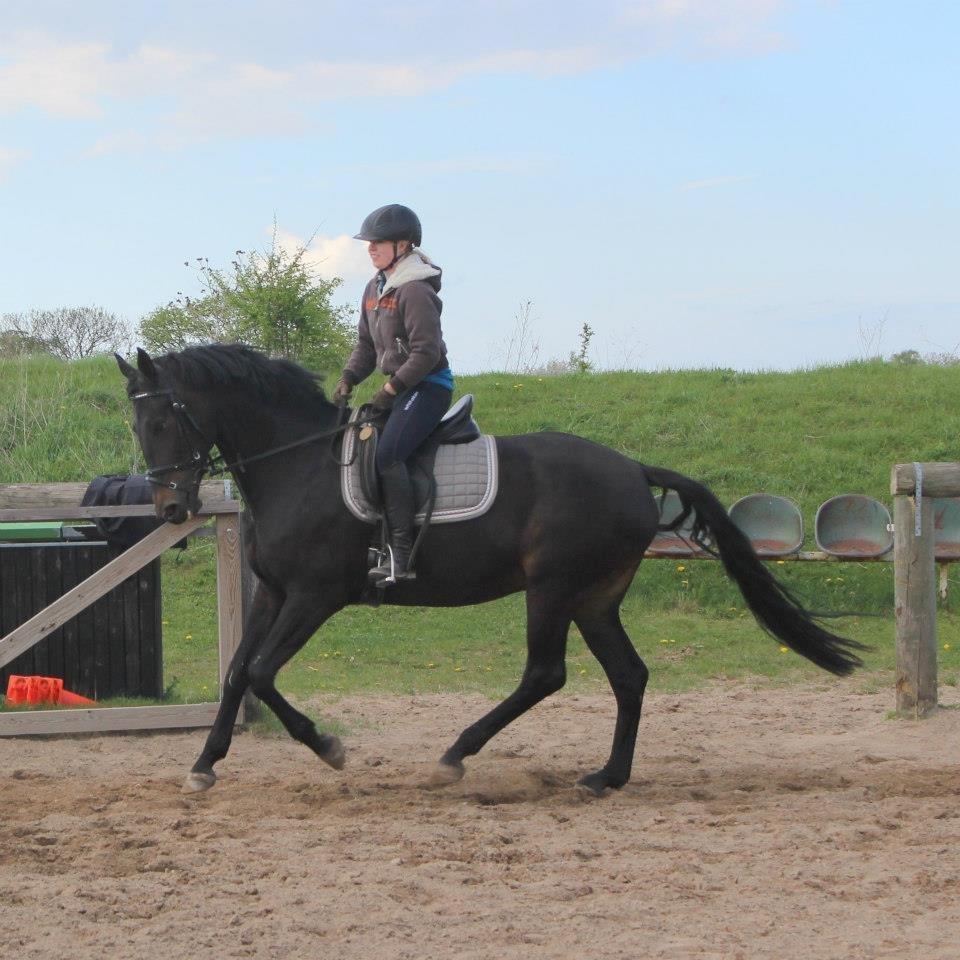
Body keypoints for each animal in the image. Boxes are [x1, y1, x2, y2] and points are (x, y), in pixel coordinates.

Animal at [116, 344, 868, 796]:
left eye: (165, 423)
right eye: (138, 428)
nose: (172, 508)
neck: (297, 464)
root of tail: (632, 468)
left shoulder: (315, 596)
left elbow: (264, 674)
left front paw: (328, 747)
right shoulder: (274, 593)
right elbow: (238, 672)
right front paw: (204, 765)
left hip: (554, 589)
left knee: (545, 674)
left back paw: (458, 754)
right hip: (595, 598)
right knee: (628, 676)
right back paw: (606, 777)